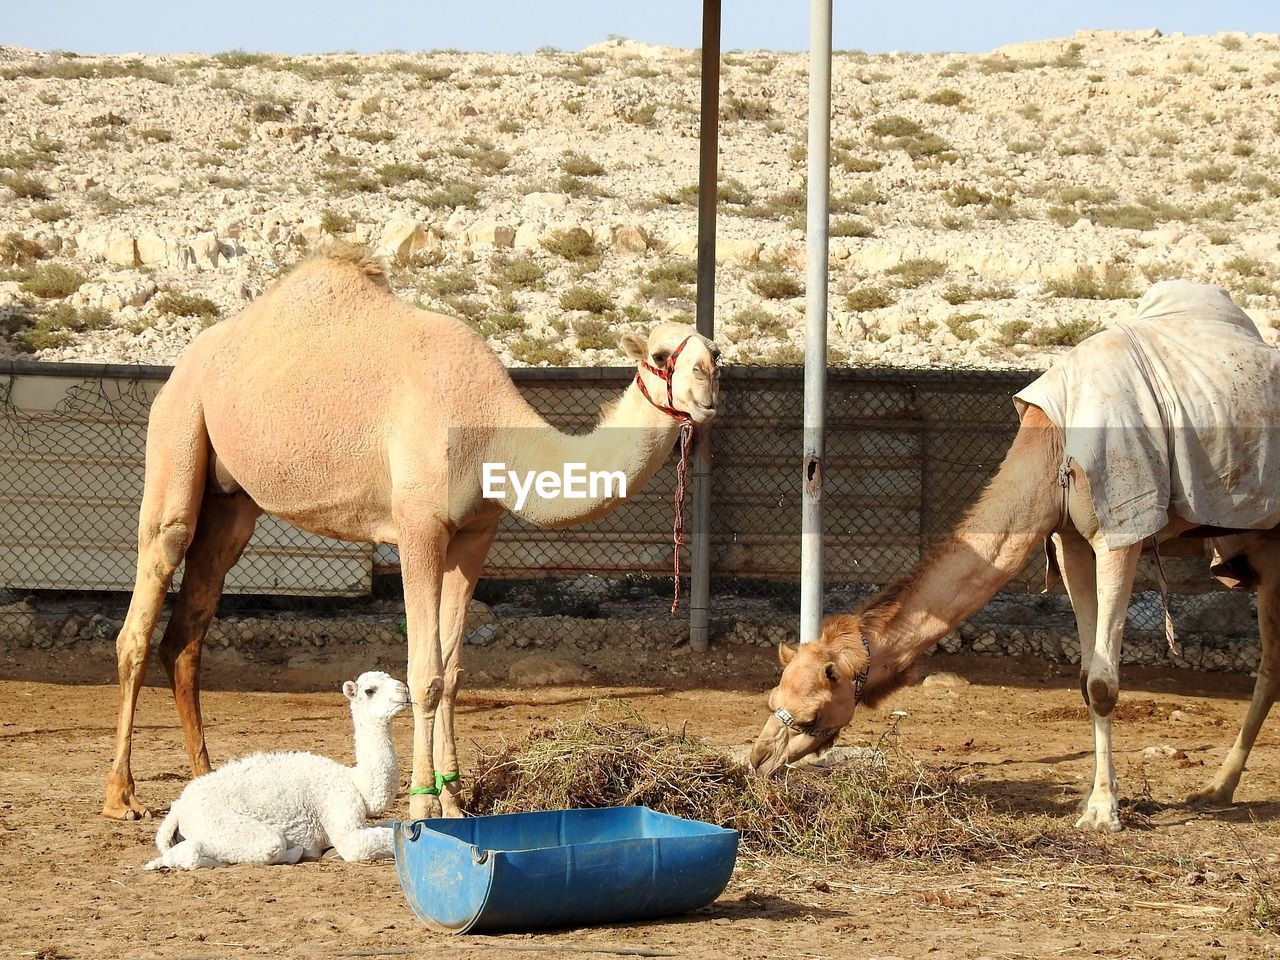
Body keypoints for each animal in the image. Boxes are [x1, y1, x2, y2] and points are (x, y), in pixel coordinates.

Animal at [99, 252, 721, 824]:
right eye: (663, 356)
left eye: (715, 354)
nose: (708, 385)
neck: (491, 433)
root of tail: (182, 366)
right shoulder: (418, 526)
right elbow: (425, 674)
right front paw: (422, 805)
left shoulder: (474, 534)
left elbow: (453, 673)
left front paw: (455, 803)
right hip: (179, 426)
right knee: (149, 590)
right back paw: (121, 797)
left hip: (233, 502)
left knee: (188, 630)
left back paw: (207, 781)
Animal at [145, 675, 407, 870]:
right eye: (370, 690)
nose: (404, 689)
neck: (355, 783)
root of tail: (178, 808)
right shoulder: (337, 808)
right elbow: (359, 845)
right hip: (218, 823)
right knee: (263, 845)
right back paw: (299, 851)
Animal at [747, 281, 1280, 829]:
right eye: (771, 698)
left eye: (810, 715)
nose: (758, 760)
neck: (1053, 450)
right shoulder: (1068, 539)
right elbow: (1086, 677)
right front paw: (1094, 800)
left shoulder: (1121, 530)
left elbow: (1104, 683)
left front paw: (1102, 811)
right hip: (1260, 544)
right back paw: (1216, 789)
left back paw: (1217, 788)